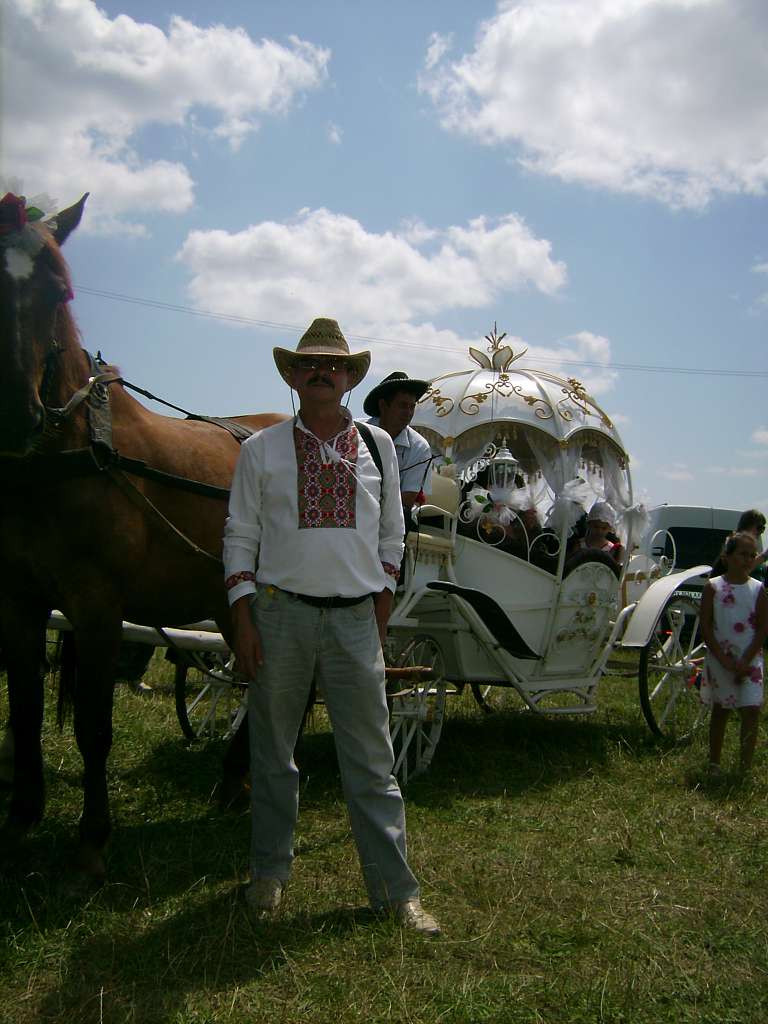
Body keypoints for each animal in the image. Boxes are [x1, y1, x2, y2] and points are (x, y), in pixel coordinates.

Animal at [0, 193, 282, 880]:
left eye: (57, 289)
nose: (17, 416)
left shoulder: (98, 605)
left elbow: (92, 727)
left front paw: (92, 841)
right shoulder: (18, 603)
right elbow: (23, 712)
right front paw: (20, 819)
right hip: (233, 603)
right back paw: (234, 781)